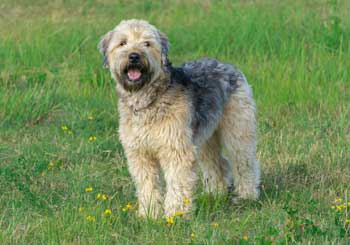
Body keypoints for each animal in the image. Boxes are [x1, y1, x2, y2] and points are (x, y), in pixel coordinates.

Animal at [98, 19, 260, 218]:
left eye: (147, 43)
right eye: (123, 43)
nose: (134, 56)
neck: (148, 100)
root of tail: (229, 66)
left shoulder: (175, 147)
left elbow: (177, 183)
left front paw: (176, 214)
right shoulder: (139, 153)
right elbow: (147, 185)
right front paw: (149, 214)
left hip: (238, 128)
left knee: (244, 162)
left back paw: (247, 195)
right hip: (204, 138)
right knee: (219, 164)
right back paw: (215, 194)